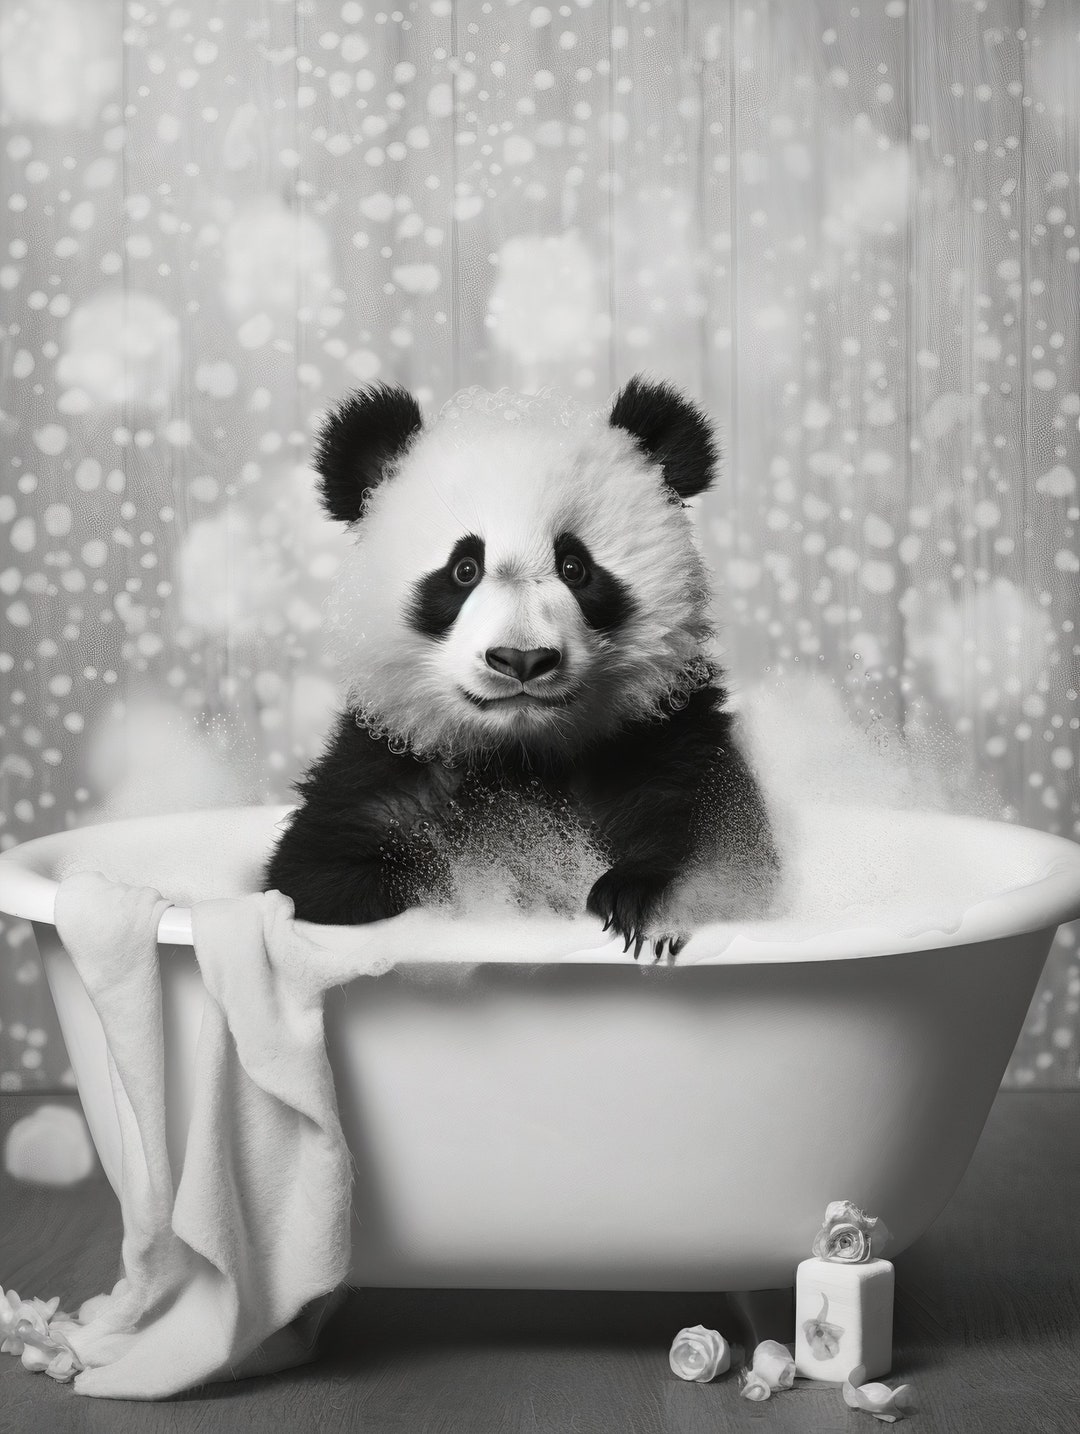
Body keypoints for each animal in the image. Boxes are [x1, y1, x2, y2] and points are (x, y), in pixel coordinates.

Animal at [264, 376, 777, 957]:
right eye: (464, 569)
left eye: (575, 567)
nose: (522, 658)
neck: (521, 754)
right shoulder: (384, 771)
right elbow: (322, 871)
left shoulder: (664, 737)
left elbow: (719, 848)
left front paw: (639, 899)